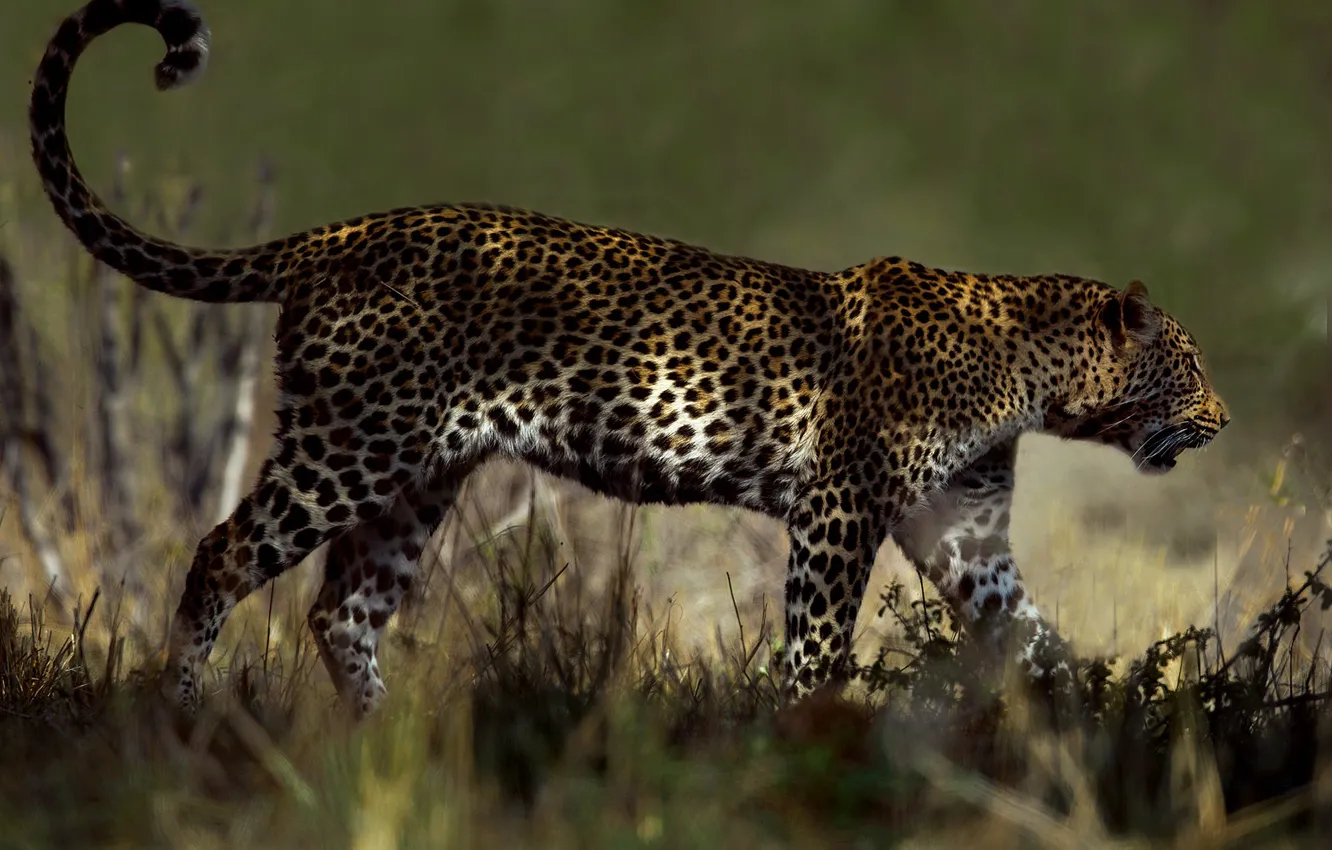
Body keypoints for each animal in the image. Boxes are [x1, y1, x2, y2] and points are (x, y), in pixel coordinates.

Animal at [29, 0, 1230, 719]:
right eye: (1187, 365)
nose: (1221, 424)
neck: (1029, 371)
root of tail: (333, 234)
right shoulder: (838, 507)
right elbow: (817, 641)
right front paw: (798, 737)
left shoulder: (965, 535)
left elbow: (1036, 639)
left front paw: (1122, 725)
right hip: (351, 445)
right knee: (221, 554)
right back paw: (182, 715)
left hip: (420, 473)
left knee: (342, 611)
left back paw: (376, 736)